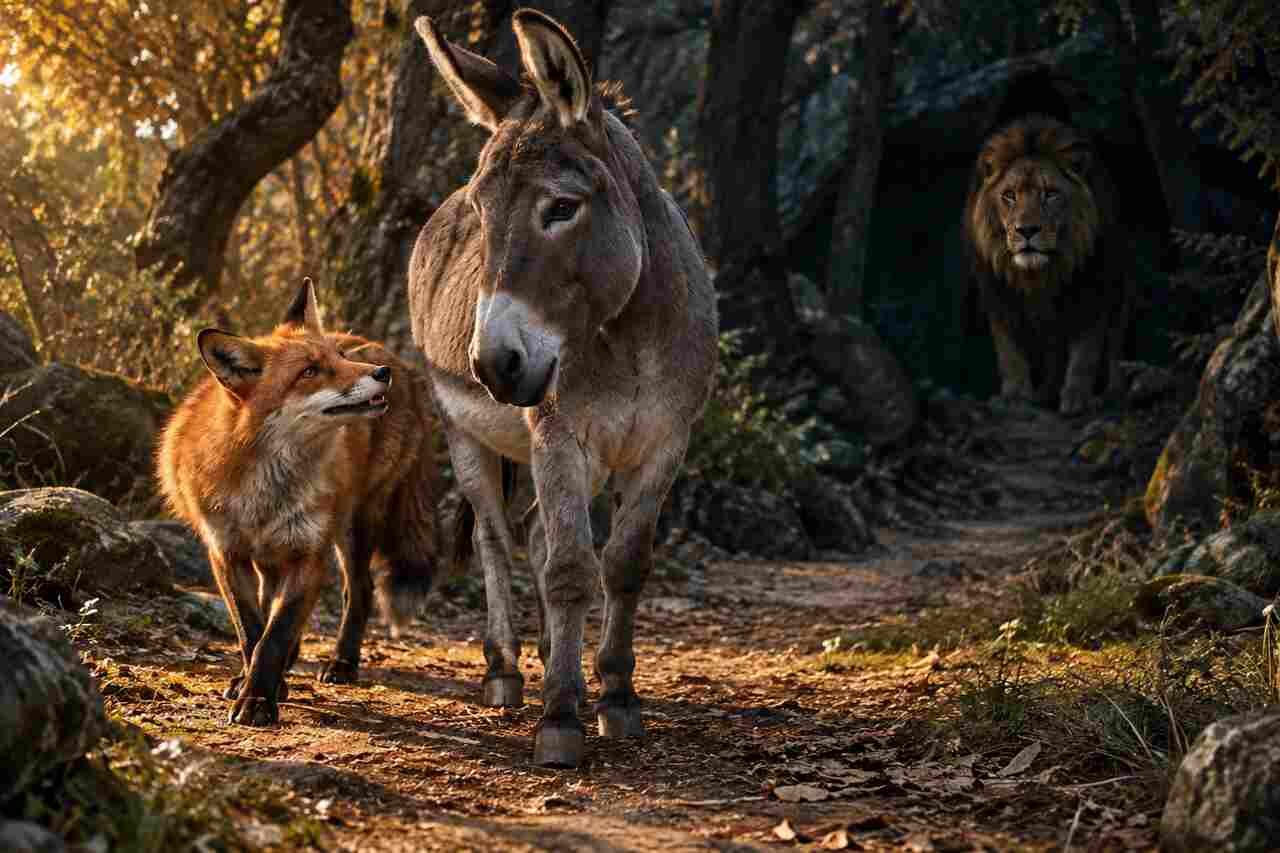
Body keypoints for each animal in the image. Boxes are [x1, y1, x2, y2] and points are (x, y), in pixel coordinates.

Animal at [157, 279, 441, 726]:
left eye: (339, 358)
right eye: (309, 371)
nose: (382, 375)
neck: (263, 488)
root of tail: (393, 355)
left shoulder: (309, 552)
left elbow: (274, 636)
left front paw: (258, 699)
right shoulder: (226, 554)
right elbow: (252, 629)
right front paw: (255, 683)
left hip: (354, 526)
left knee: (359, 591)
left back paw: (342, 663)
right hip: (279, 554)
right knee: (277, 601)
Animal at [962, 114, 1131, 415]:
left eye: (1050, 194)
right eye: (1009, 195)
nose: (1026, 230)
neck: (1039, 276)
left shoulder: (1092, 289)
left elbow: (1086, 351)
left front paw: (1077, 398)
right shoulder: (999, 296)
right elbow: (1009, 351)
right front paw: (1015, 397)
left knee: (1114, 342)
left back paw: (1114, 392)